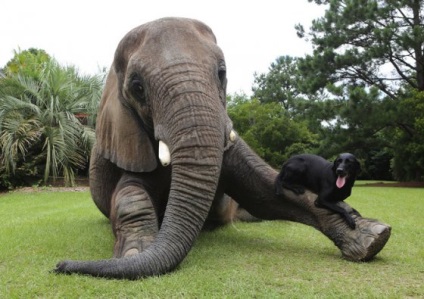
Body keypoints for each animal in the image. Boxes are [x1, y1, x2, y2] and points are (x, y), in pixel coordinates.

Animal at [53, 17, 390, 280]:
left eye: (222, 73)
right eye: (137, 87)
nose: (59, 265)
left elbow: (266, 188)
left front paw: (373, 237)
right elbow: (128, 195)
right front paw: (135, 254)